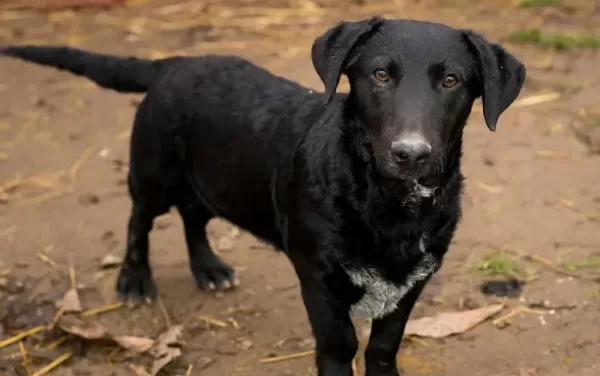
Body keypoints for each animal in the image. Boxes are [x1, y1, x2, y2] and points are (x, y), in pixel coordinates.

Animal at [1, 16, 524, 374]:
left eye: (451, 81)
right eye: (379, 75)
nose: (411, 154)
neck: (387, 205)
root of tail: (174, 63)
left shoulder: (412, 281)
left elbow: (382, 348)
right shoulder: (319, 281)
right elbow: (339, 348)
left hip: (209, 179)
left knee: (193, 216)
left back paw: (209, 268)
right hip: (153, 173)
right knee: (139, 221)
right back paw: (134, 280)